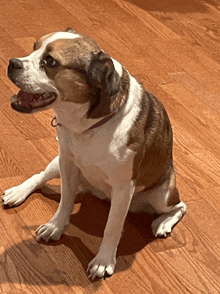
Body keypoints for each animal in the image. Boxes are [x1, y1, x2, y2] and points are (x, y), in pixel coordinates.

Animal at [3, 28, 186, 280]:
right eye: (33, 47)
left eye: (50, 62)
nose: (12, 63)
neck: (88, 125)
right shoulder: (68, 164)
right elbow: (65, 202)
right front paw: (56, 226)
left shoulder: (123, 187)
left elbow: (111, 226)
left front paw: (103, 260)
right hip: (57, 163)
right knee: (40, 176)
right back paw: (18, 192)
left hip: (162, 194)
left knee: (179, 207)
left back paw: (163, 223)